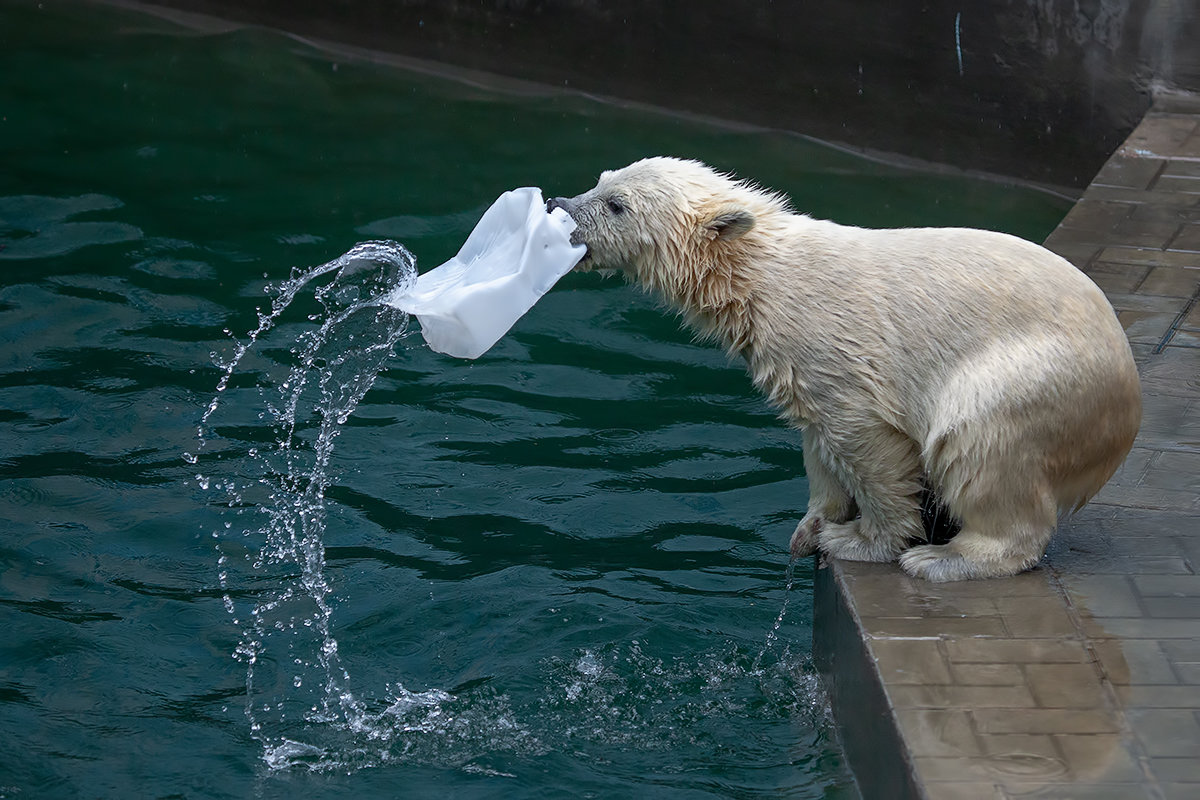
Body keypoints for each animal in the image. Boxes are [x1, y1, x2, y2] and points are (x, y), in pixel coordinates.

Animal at [549, 155, 1137, 582]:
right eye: (600, 180)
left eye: (617, 205)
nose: (558, 202)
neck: (758, 276)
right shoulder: (796, 365)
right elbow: (817, 439)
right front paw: (809, 528)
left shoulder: (829, 344)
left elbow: (863, 439)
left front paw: (861, 542)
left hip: (1028, 380)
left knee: (980, 446)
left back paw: (946, 558)